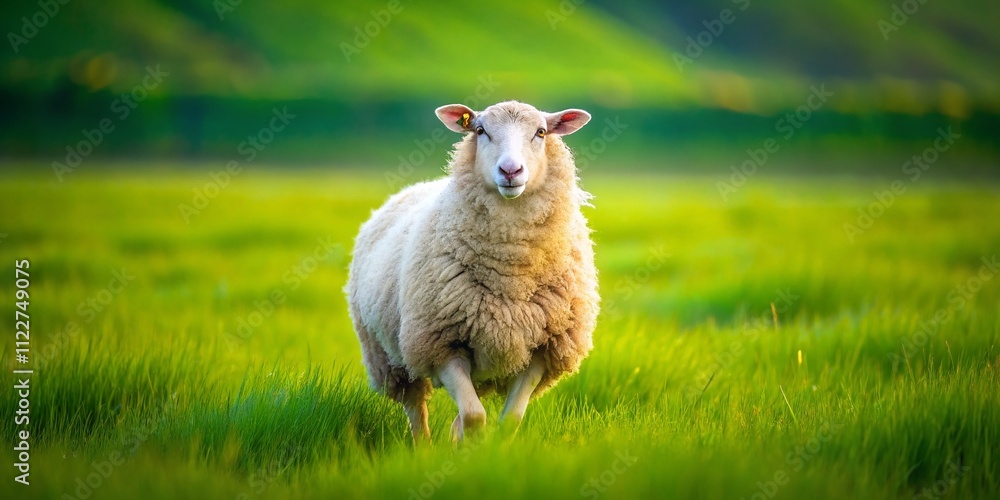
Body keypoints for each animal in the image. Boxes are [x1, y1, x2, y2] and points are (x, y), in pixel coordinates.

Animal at [345, 100, 599, 442]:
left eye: (541, 132)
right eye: (480, 130)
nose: (510, 171)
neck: (510, 271)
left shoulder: (542, 352)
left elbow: (508, 420)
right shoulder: (441, 345)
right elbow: (475, 417)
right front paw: (470, 451)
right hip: (389, 356)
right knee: (416, 408)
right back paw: (423, 448)